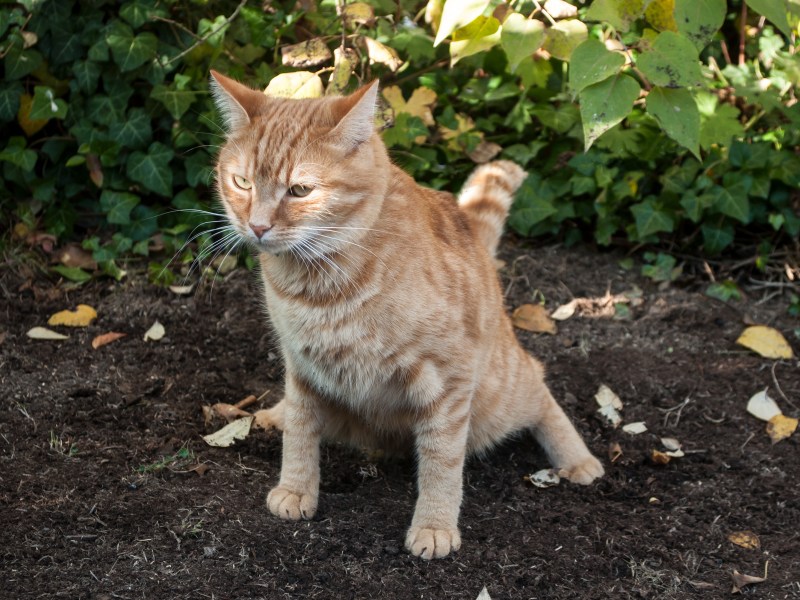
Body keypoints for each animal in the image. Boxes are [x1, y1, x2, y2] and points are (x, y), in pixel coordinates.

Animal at [209, 71, 604, 564]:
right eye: (241, 181)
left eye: (300, 190)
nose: (258, 227)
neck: (322, 283)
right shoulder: (300, 365)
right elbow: (300, 428)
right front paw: (297, 488)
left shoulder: (449, 380)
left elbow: (442, 461)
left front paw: (434, 525)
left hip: (500, 392)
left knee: (539, 388)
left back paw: (577, 459)